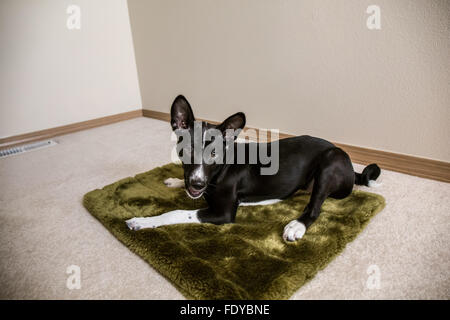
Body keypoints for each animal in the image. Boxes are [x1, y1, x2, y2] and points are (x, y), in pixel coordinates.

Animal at [126, 96, 380, 241]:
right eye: (187, 149)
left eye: (214, 154)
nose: (197, 183)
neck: (221, 170)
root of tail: (351, 168)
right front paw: (176, 181)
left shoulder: (224, 213)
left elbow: (177, 212)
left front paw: (142, 221)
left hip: (330, 161)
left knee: (315, 207)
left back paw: (296, 226)